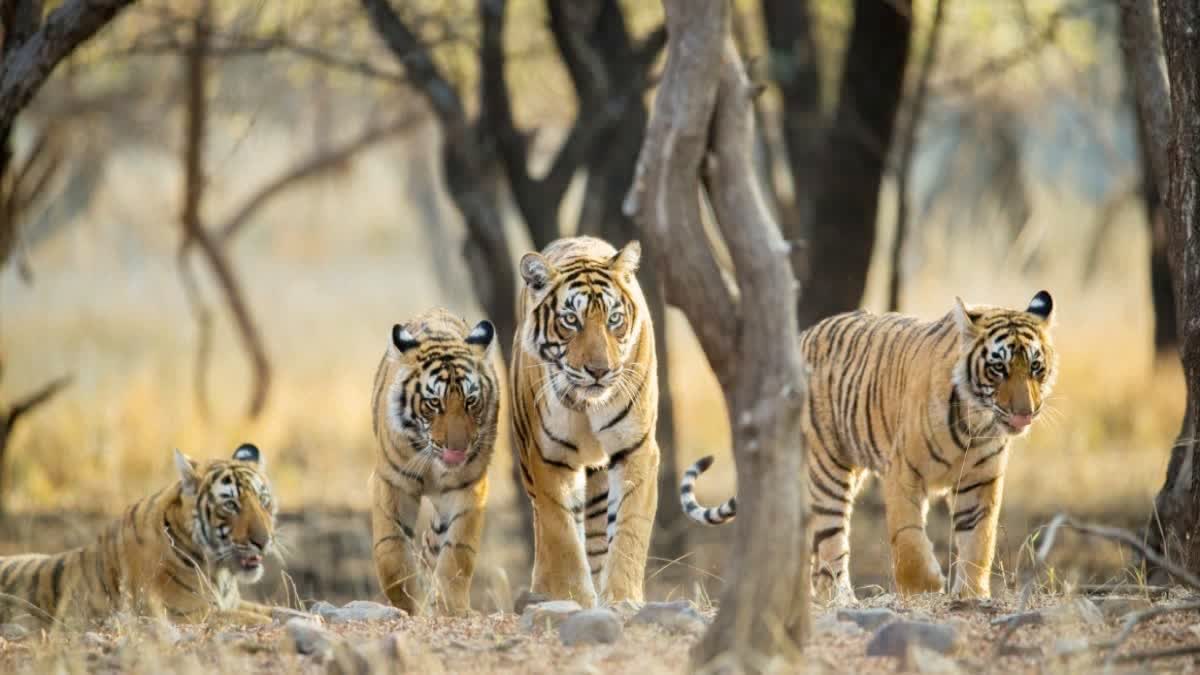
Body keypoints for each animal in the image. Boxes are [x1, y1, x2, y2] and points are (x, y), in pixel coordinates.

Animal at [0, 443, 278, 628]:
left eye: (264, 500)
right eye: (230, 505)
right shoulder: (187, 613)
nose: (263, 542)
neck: (220, 573)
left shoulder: (232, 603)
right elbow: (258, 619)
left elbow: (277, 610)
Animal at [370, 308, 500, 616]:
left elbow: (457, 554)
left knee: (434, 544)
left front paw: (450, 609)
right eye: (433, 403)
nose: (458, 448)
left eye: (471, 401)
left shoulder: (469, 487)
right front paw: (409, 605)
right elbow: (391, 553)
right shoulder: (392, 483)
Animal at [512, 236, 659, 607]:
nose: (599, 370)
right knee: (545, 528)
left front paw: (622, 598)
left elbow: (629, 528)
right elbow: (561, 535)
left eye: (614, 319)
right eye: (570, 320)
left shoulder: (636, 448)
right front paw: (573, 597)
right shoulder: (549, 457)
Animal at [681, 291, 1058, 603]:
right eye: (999, 368)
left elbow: (979, 539)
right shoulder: (903, 472)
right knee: (830, 543)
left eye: (1035, 368)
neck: (975, 423)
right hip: (828, 469)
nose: (1025, 412)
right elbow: (908, 538)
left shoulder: (980, 481)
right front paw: (924, 588)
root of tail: (802, 336)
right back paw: (840, 600)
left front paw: (971, 594)